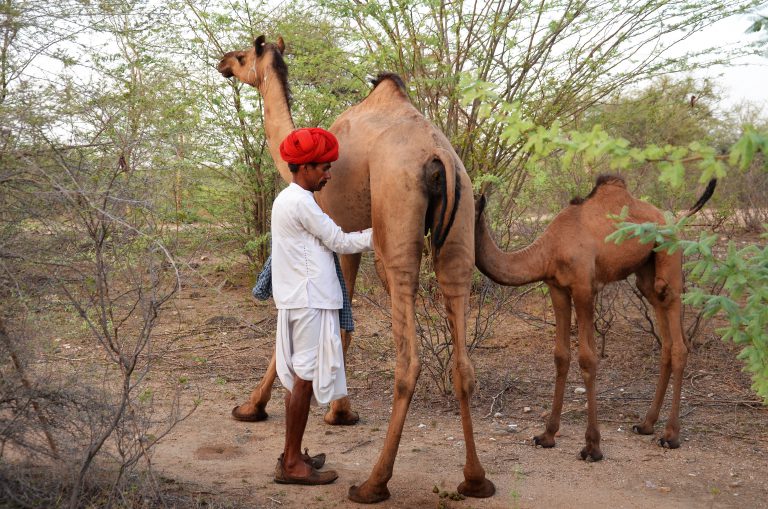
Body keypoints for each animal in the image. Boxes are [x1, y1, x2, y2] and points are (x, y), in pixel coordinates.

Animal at [216, 36, 496, 504]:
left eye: (242, 56)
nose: (221, 63)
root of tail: (439, 157)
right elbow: (344, 325)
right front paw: (339, 411)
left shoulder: (335, 229)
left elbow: (331, 323)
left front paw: (254, 408)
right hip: (459, 231)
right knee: (464, 359)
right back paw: (475, 480)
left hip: (395, 226)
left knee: (408, 358)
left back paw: (373, 483)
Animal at [472, 175, 716, 460]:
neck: (550, 248)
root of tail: (672, 219)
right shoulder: (557, 288)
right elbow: (561, 356)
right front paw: (547, 435)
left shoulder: (583, 289)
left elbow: (587, 359)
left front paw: (592, 446)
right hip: (646, 274)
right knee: (665, 341)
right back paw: (646, 424)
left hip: (670, 263)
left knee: (678, 343)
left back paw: (670, 436)